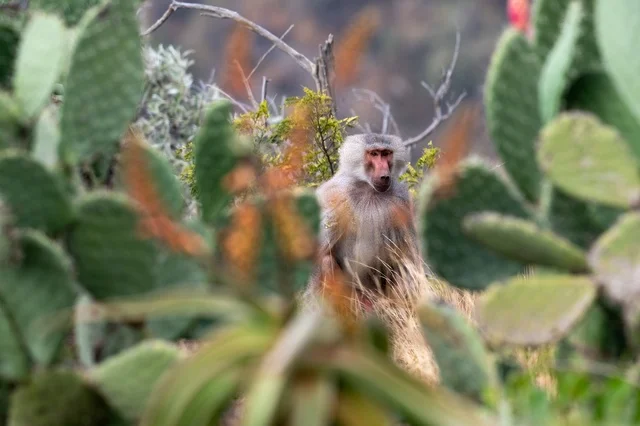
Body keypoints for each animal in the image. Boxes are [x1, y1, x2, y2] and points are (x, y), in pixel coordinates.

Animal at [305, 133, 424, 312]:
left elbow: (410, 260)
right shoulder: (334, 196)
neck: (369, 190)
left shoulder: (401, 201)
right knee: (326, 261)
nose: (385, 175)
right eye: (374, 154)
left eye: (386, 153)